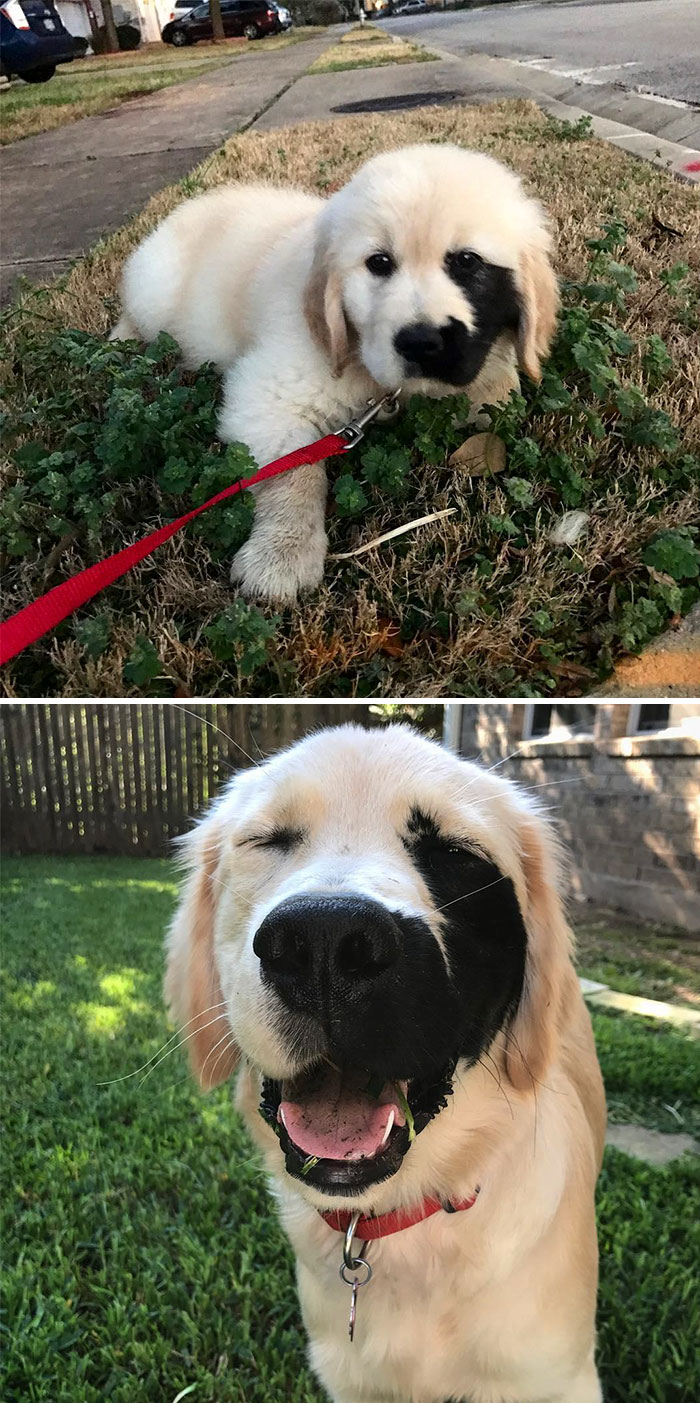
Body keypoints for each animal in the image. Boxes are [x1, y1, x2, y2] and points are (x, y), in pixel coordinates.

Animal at [113, 148, 558, 603]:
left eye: (467, 262)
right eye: (379, 263)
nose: (420, 343)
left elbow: (495, 393)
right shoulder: (267, 396)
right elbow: (295, 471)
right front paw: (283, 552)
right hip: (154, 289)